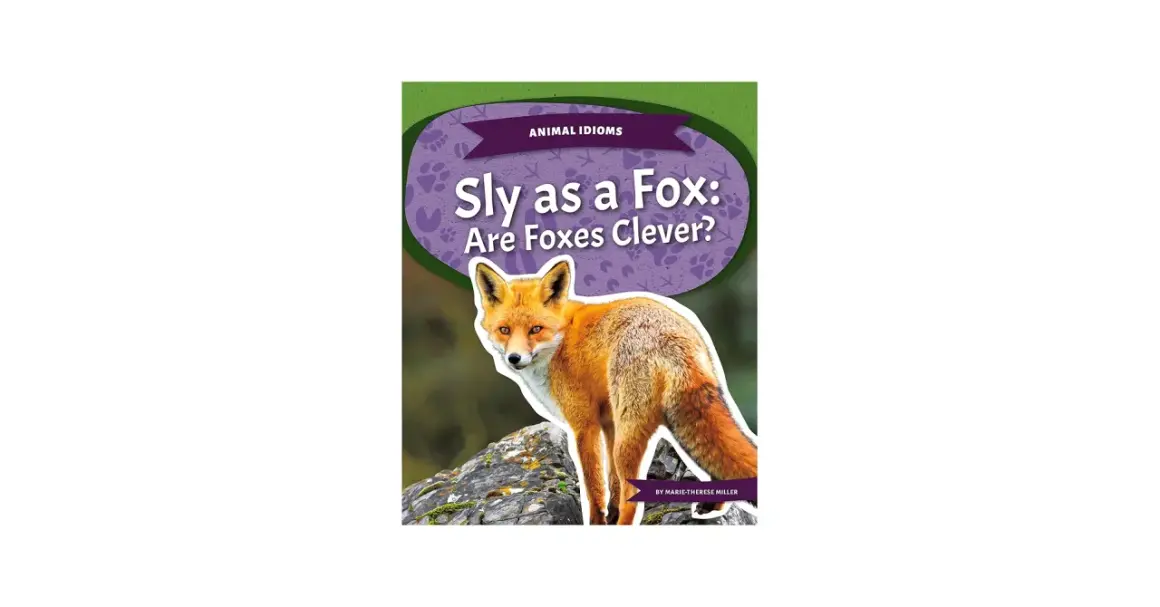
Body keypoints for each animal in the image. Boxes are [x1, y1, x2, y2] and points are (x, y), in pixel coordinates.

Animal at [469, 254, 758, 525]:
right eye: (504, 330)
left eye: (535, 329)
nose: (514, 359)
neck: (561, 340)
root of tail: (675, 338)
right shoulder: (608, 422)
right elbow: (612, 482)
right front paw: (611, 512)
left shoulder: (584, 425)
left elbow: (594, 485)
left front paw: (598, 521)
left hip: (628, 440)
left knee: (634, 498)